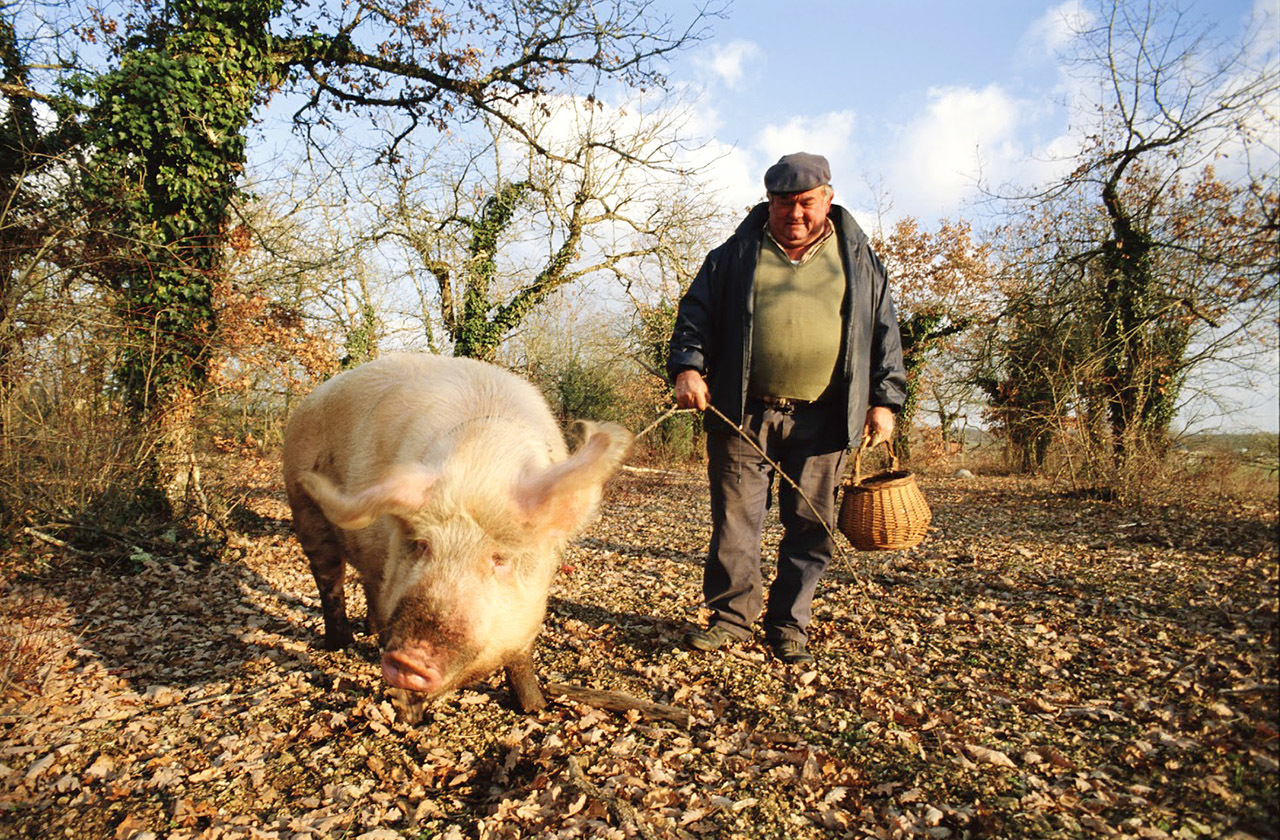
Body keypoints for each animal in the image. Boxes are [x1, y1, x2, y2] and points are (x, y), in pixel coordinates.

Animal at [285, 353, 634, 717]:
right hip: (304, 510)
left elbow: (520, 658)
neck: (481, 463)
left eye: (500, 559)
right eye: (421, 545)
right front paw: (408, 715)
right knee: (330, 583)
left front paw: (535, 709)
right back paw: (340, 644)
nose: (409, 660)